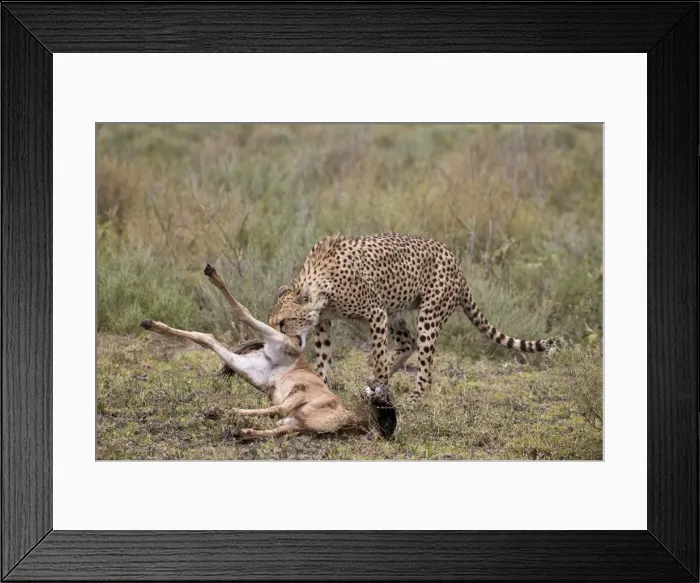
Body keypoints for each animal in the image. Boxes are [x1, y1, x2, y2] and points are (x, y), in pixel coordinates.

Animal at [269, 232, 559, 406]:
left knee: (425, 363)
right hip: (396, 311)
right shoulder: (324, 323)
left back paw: (415, 397)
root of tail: (455, 261)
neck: (321, 285)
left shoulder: (375, 313)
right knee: (408, 343)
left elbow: (377, 355)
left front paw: (381, 386)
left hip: (428, 315)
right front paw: (322, 389)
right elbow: (324, 360)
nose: (274, 342)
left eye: (283, 322)